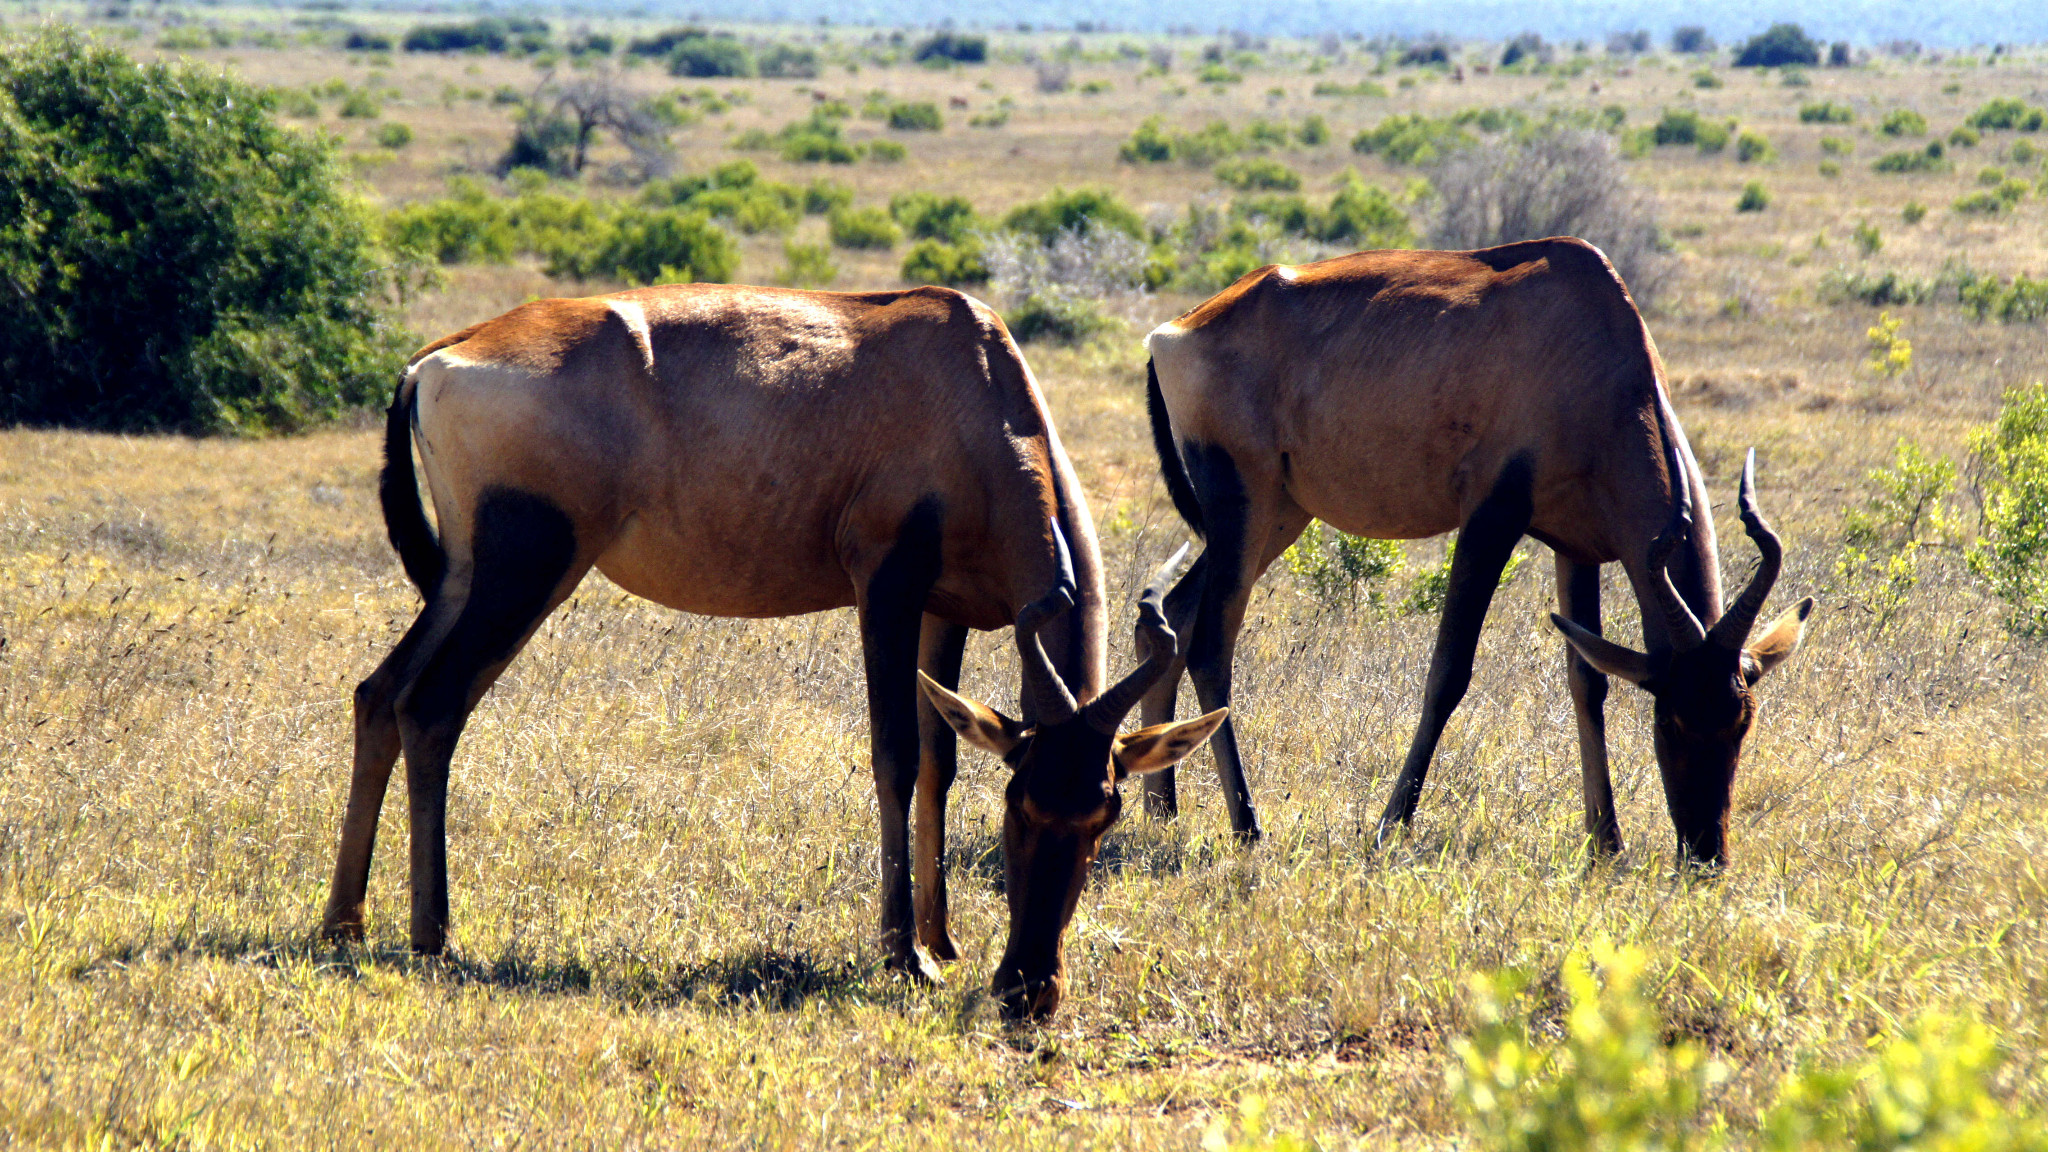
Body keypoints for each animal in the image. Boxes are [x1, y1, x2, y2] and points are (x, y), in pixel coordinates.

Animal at [311, 282, 1220, 1016]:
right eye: (1021, 806)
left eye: (1103, 813)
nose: (1029, 992)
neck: (969, 375)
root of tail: (441, 356)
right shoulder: (884, 585)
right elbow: (894, 755)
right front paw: (906, 955)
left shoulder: (941, 611)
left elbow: (939, 760)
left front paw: (942, 940)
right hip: (526, 567)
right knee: (434, 705)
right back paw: (432, 934)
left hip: (464, 575)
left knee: (379, 694)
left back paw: (343, 926)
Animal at [1138, 237, 1826, 860]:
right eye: (1673, 717)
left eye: (1743, 719)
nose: (1707, 856)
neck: (1591, 333)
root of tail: (1173, 331)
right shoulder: (1491, 518)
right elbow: (1450, 671)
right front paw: (1388, 828)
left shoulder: (1578, 545)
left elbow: (1588, 679)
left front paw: (1607, 844)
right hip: (1243, 502)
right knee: (1211, 645)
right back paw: (1247, 827)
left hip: (1281, 515)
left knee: (1170, 616)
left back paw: (1162, 809)